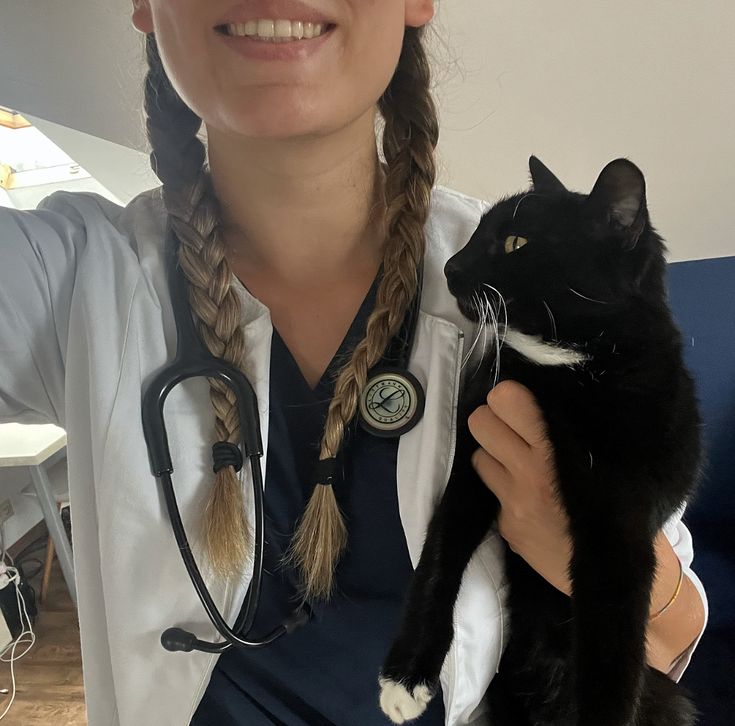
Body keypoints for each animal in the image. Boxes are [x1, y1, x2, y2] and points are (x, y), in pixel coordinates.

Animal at [380, 161, 700, 726]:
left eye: (515, 242)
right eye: (477, 233)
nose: (451, 265)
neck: (562, 369)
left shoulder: (621, 520)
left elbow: (612, 634)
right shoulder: (475, 461)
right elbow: (439, 556)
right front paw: (406, 676)